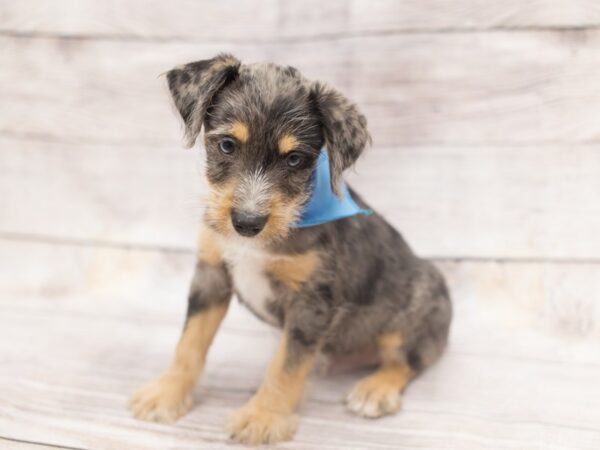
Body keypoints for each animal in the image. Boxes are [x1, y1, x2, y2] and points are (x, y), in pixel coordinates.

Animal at [130, 54, 450, 444]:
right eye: (227, 145)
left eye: (294, 159)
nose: (247, 222)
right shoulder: (211, 274)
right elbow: (189, 343)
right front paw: (165, 394)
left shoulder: (312, 302)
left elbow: (286, 366)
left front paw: (262, 417)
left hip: (417, 311)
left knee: (407, 360)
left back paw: (375, 390)